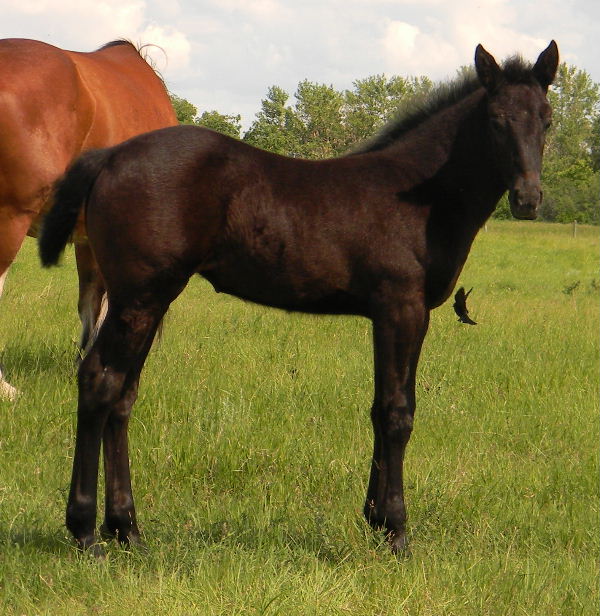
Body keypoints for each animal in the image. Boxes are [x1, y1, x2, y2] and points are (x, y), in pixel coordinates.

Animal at [39, 42, 558, 554]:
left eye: (547, 119)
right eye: (496, 119)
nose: (527, 199)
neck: (420, 198)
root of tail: (109, 157)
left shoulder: (386, 315)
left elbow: (378, 407)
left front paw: (374, 519)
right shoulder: (402, 309)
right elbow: (397, 412)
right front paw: (396, 531)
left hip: (148, 299)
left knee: (123, 395)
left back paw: (127, 529)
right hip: (139, 297)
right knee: (100, 381)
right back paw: (85, 531)